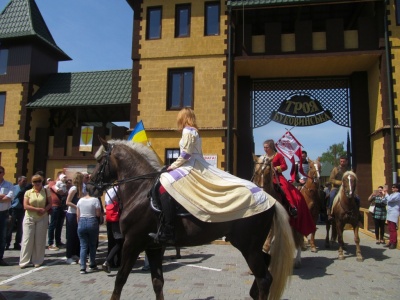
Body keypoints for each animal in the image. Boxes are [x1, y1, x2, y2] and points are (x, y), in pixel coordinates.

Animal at [87, 140, 294, 300]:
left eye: (100, 161)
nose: (90, 187)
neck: (140, 190)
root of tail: (271, 199)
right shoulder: (153, 246)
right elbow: (157, 282)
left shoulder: (132, 242)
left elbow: (120, 279)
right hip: (252, 246)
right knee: (266, 269)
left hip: (248, 246)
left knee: (264, 279)